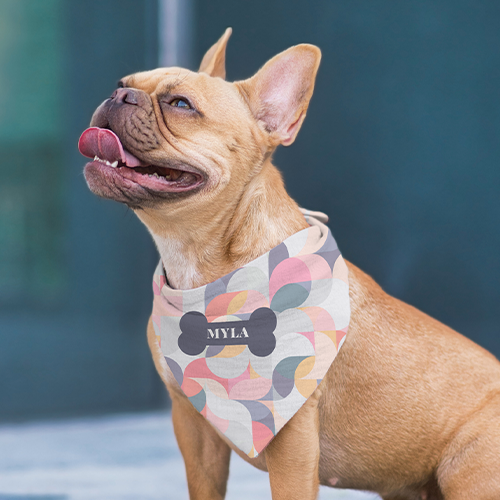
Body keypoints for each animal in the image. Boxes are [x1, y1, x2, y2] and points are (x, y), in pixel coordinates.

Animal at [78, 30, 500, 500]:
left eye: (181, 104)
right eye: (123, 82)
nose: (119, 94)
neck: (201, 264)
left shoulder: (292, 439)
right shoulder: (193, 427)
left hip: (468, 471)